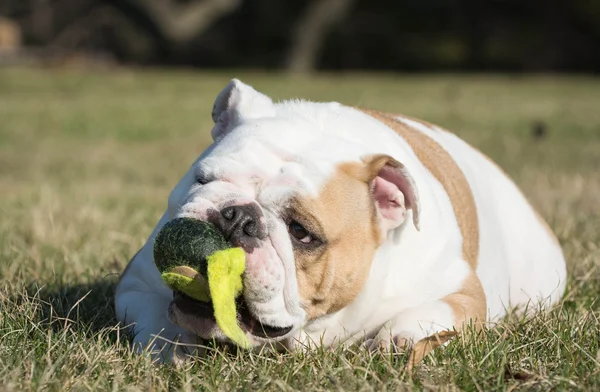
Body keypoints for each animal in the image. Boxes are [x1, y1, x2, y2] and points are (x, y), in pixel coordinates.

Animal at [116, 78, 568, 362]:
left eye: (302, 233)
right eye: (203, 179)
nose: (236, 217)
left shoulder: (462, 291)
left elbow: (429, 313)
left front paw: (399, 338)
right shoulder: (135, 282)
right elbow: (157, 313)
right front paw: (171, 343)